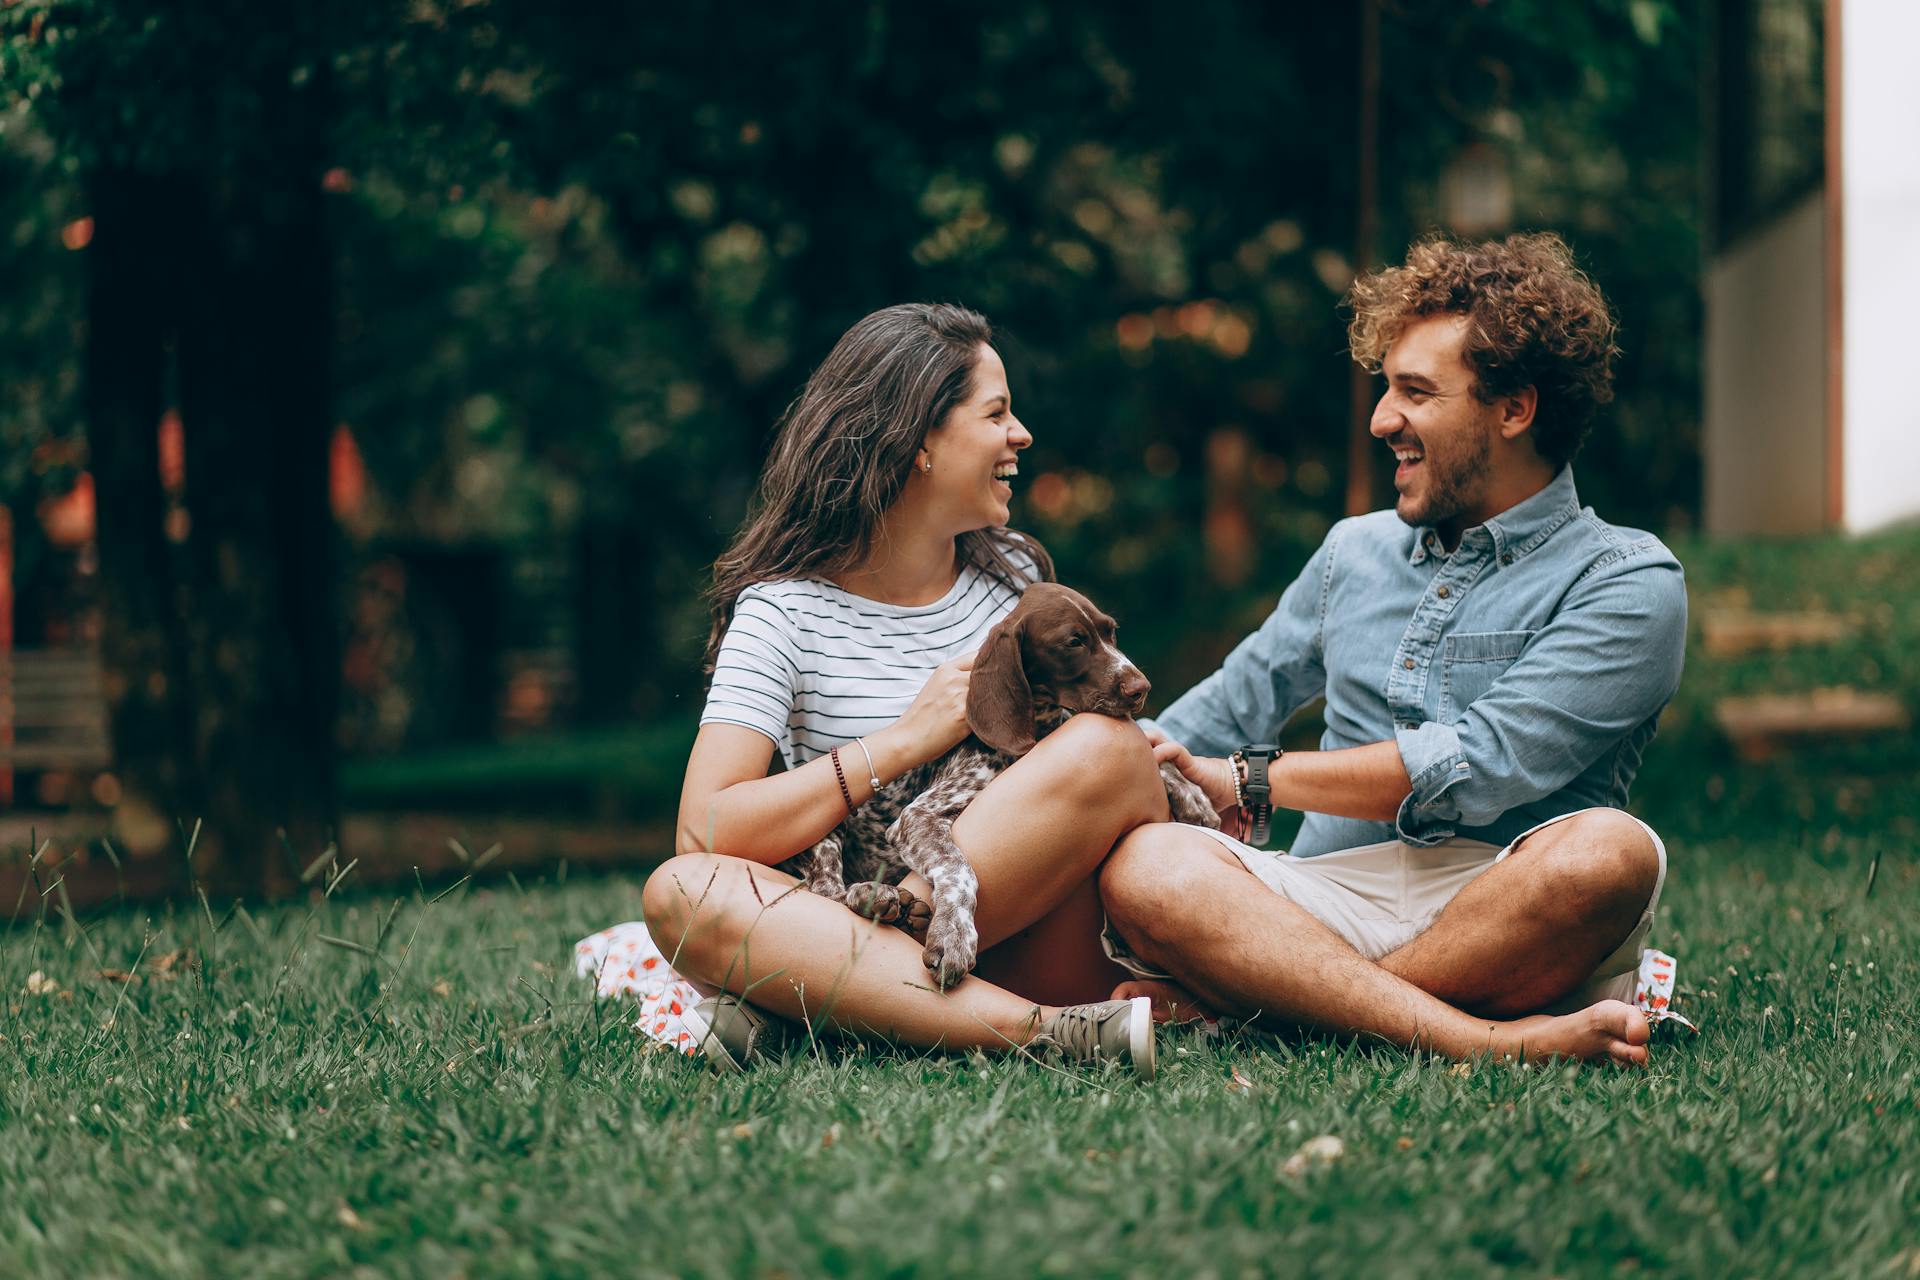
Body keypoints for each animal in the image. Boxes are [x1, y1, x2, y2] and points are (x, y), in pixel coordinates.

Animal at [775, 583, 1213, 990]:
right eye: (1073, 642)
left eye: (1112, 632)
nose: (1141, 688)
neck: (1037, 730)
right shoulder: (918, 816)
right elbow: (960, 870)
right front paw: (954, 936)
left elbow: (1153, 750)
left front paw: (1192, 795)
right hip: (826, 829)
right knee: (825, 891)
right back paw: (872, 894)